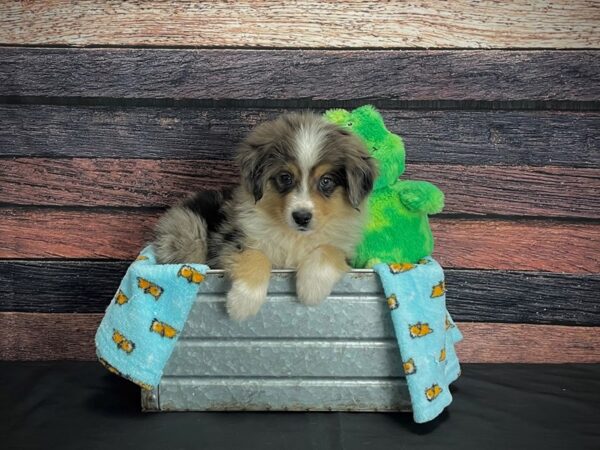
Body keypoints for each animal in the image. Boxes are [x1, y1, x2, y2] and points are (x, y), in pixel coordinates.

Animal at [154, 112, 376, 320]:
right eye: (285, 177)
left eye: (326, 181)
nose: (301, 217)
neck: (295, 236)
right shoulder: (232, 239)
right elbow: (255, 255)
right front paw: (242, 304)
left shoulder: (346, 251)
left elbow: (328, 250)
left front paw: (311, 289)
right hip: (190, 231)